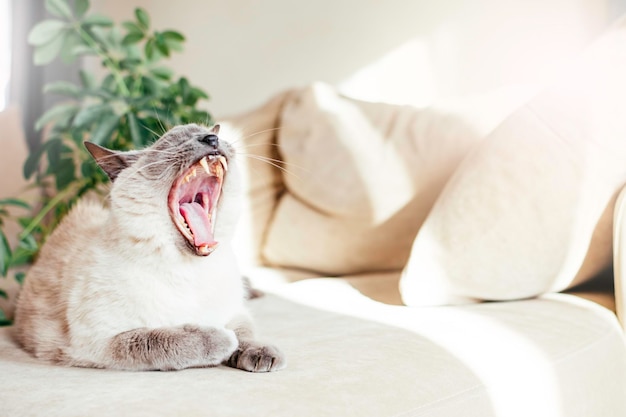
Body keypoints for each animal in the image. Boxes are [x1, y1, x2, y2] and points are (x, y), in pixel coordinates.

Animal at [12, 122, 286, 370]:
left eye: (209, 134)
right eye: (171, 142)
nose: (211, 139)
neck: (190, 271)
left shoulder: (234, 311)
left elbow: (244, 332)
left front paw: (261, 354)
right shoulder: (103, 342)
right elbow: (166, 338)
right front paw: (221, 340)